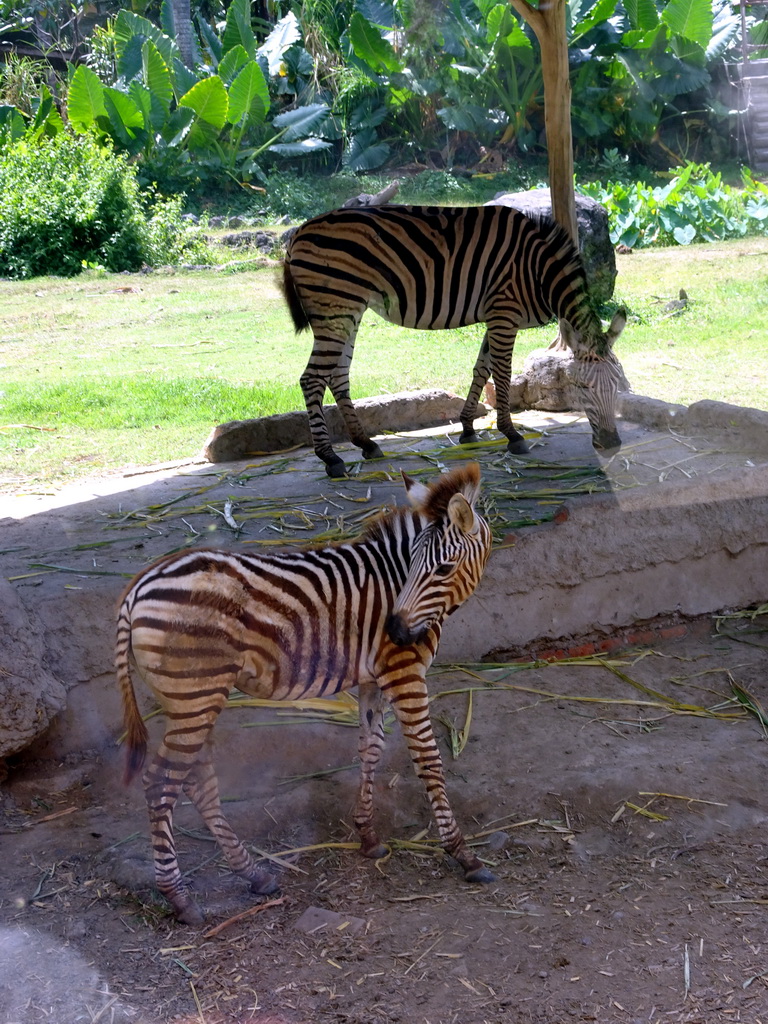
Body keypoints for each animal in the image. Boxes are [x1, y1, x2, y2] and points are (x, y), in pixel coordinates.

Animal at [118, 460, 495, 925]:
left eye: (442, 570)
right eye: (414, 569)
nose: (394, 630)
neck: (396, 579)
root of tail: (136, 590)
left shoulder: (372, 678)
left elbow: (370, 748)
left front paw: (368, 836)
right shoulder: (403, 673)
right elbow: (428, 759)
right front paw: (462, 854)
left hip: (189, 700)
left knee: (195, 781)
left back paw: (254, 874)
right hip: (195, 696)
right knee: (161, 782)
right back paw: (179, 898)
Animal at [282, 205, 626, 481]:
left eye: (618, 387)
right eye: (581, 388)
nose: (611, 444)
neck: (538, 270)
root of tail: (300, 231)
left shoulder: (496, 317)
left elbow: (481, 369)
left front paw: (468, 429)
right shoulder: (504, 314)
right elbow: (501, 375)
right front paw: (511, 434)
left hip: (348, 312)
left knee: (338, 375)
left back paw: (365, 444)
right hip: (335, 308)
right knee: (312, 379)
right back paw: (330, 458)